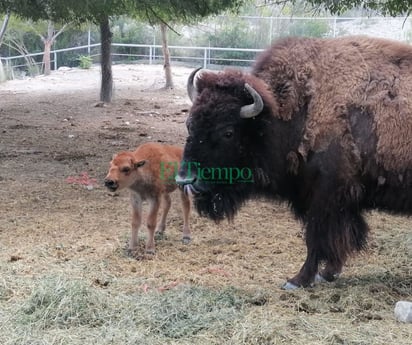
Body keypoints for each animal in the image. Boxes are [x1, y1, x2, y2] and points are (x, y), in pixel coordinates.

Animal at [176, 35, 412, 288]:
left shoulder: (324, 197)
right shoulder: (340, 203)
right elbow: (339, 239)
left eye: (228, 132)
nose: (185, 180)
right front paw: (328, 273)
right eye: (190, 124)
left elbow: (315, 238)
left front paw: (298, 280)